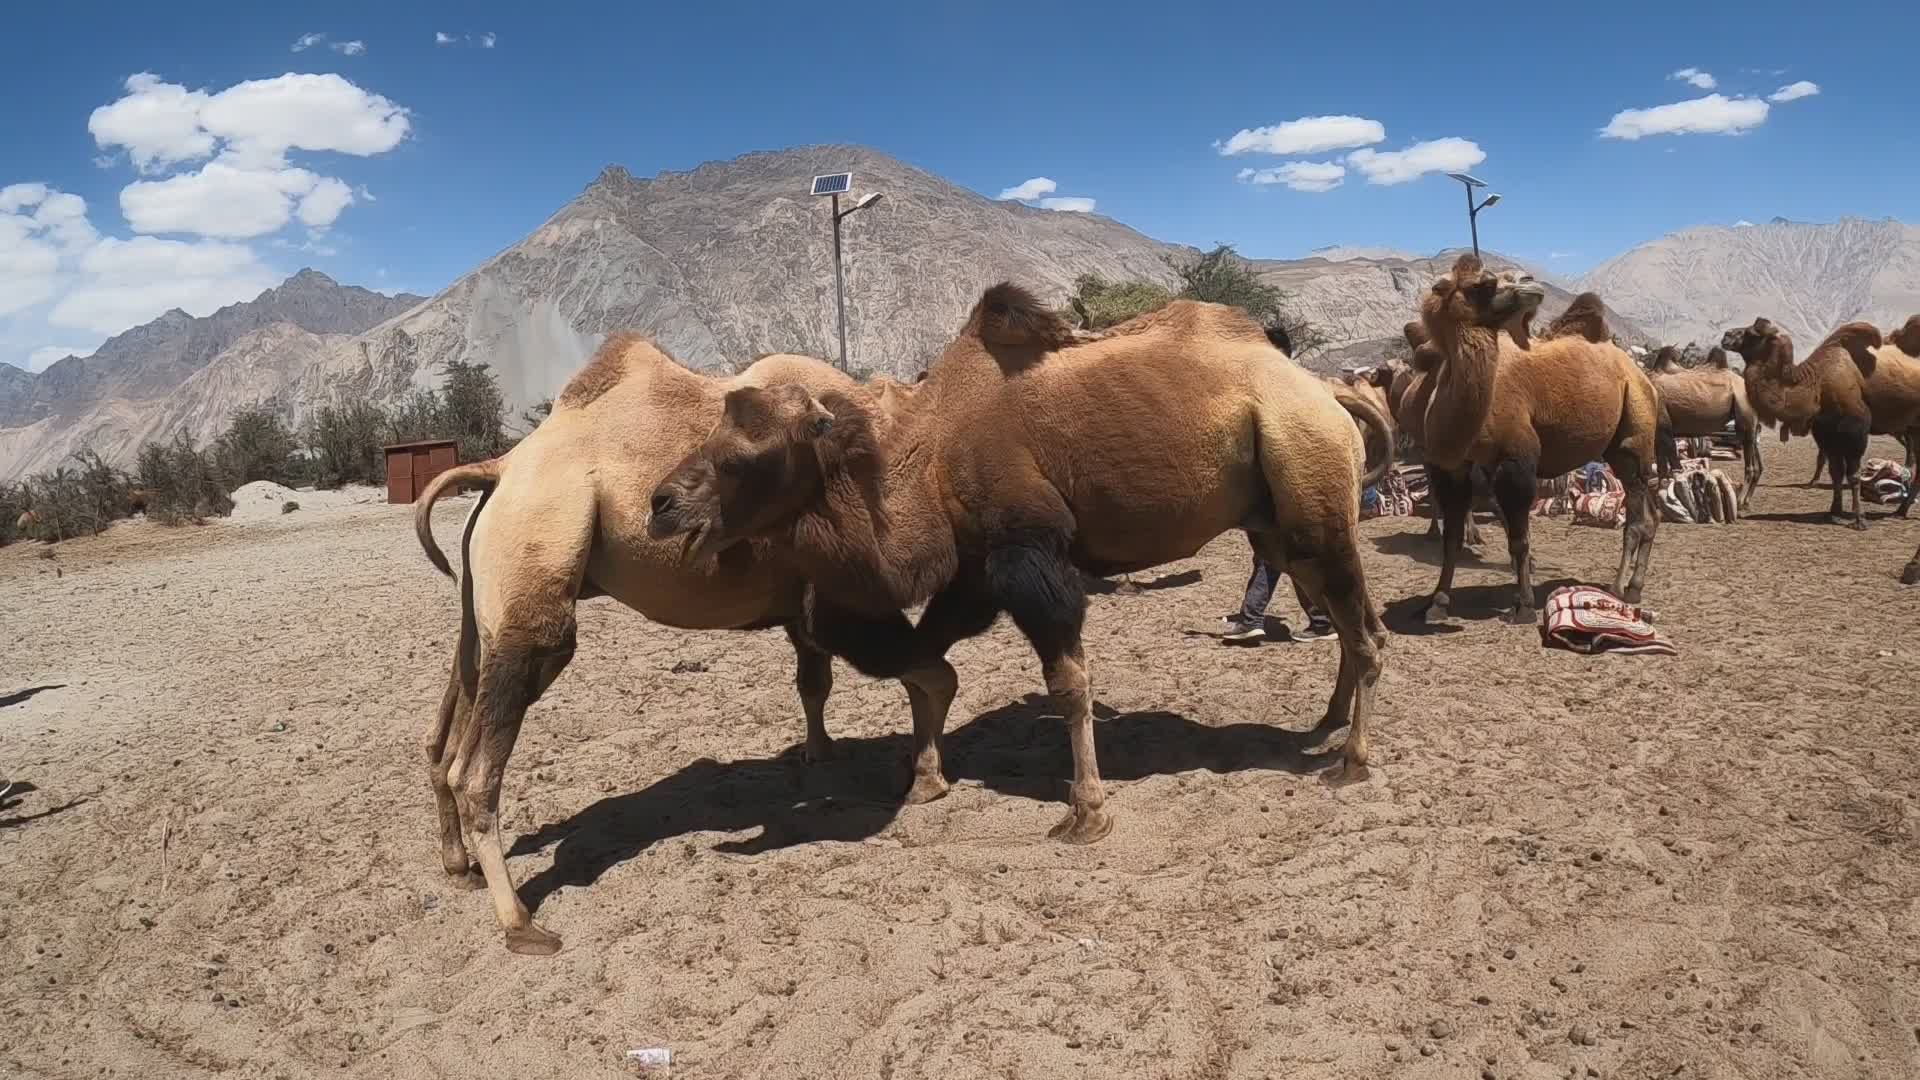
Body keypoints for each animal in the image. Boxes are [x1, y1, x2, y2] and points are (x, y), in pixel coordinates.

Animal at [407, 335, 932, 956]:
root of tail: (503, 465)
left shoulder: (803, 599)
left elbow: (815, 683)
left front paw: (820, 755)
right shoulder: (844, 586)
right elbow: (911, 669)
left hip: (481, 607)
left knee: (447, 731)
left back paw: (457, 866)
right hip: (536, 559)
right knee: (477, 767)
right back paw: (520, 923)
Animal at [648, 285, 1390, 846]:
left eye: (744, 459)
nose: (661, 503)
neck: (930, 453)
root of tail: (1327, 394)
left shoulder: (1025, 554)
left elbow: (1065, 682)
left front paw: (1086, 813)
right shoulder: (974, 571)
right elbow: (928, 665)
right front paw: (925, 779)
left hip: (1311, 487)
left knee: (1365, 635)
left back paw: (1352, 761)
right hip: (1280, 523)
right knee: (1354, 621)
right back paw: (1325, 723)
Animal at [1415, 256, 1662, 621]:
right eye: (1483, 283)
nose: (1530, 283)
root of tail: (1640, 374)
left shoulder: (1517, 462)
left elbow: (1520, 540)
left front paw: (1524, 606)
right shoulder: (1453, 470)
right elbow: (1453, 541)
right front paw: (1438, 602)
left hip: (1635, 433)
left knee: (1635, 518)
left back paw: (1620, 588)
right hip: (1620, 447)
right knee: (1651, 515)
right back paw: (1633, 587)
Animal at [1645, 345, 1762, 508]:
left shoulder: (1663, 427)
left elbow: (1674, 465)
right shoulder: (1658, 433)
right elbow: (1662, 467)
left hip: (1745, 415)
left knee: (1751, 465)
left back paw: (1739, 501)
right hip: (1750, 424)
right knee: (1758, 464)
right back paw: (1746, 501)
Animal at [1720, 318, 1883, 529]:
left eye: (1751, 333)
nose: (1726, 336)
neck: (1816, 388)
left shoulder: (1856, 432)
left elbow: (1854, 475)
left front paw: (1859, 520)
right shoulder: (1826, 434)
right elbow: (1836, 472)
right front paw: (1833, 513)